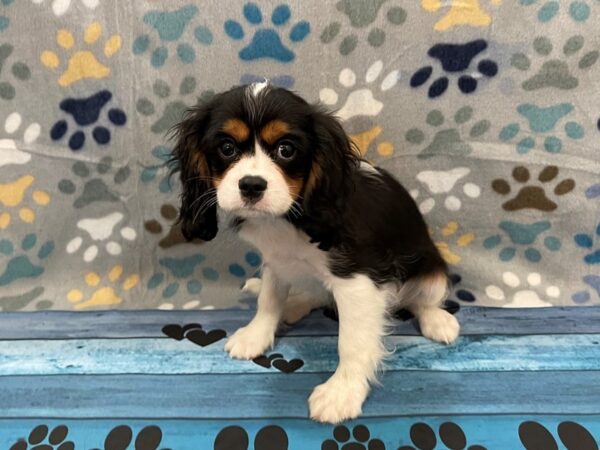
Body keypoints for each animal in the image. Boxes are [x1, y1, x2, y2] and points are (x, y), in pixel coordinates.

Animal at [171, 81, 462, 426]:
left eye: (286, 150)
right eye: (227, 148)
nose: (252, 185)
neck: (287, 218)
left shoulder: (358, 279)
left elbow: (352, 341)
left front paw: (342, 391)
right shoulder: (276, 260)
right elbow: (269, 299)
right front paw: (257, 334)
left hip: (430, 268)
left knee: (424, 299)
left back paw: (438, 321)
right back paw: (294, 305)